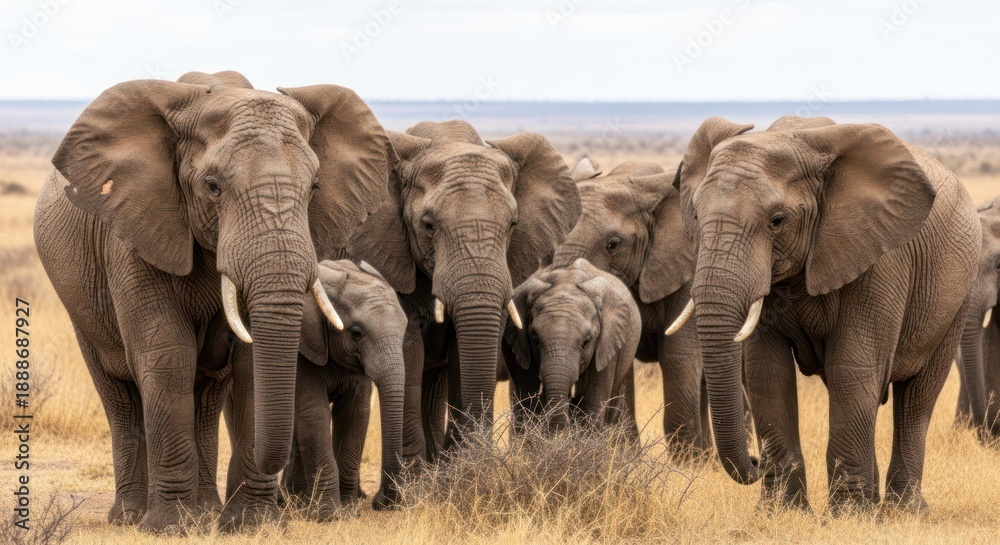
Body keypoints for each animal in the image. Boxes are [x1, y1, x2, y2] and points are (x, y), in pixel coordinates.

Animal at [33, 71, 394, 532]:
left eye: (314, 188)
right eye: (213, 186)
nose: (284, 496)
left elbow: (249, 362)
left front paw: (249, 525)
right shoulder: (136, 231)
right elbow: (167, 355)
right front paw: (170, 527)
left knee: (205, 395)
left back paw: (204, 511)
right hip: (79, 303)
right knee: (121, 393)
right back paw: (131, 518)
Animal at [277, 260, 408, 518]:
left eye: (404, 332)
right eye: (356, 333)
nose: (382, 502)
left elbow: (354, 414)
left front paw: (349, 508)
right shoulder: (304, 348)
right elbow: (314, 414)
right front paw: (328, 515)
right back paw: (293, 500)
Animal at [504, 258, 642, 433]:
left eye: (586, 342)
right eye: (535, 340)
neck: (566, 282)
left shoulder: (608, 344)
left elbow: (592, 407)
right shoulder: (522, 348)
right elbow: (530, 405)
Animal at [550, 158, 711, 454]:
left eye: (613, 245)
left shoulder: (689, 271)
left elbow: (678, 356)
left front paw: (688, 461)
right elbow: (622, 364)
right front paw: (625, 451)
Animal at [675, 115, 980, 513]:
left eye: (777, 221)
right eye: (696, 216)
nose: (755, 461)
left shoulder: (880, 256)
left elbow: (851, 367)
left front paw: (850, 516)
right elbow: (765, 371)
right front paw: (781, 512)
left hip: (958, 296)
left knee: (917, 398)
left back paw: (904, 510)